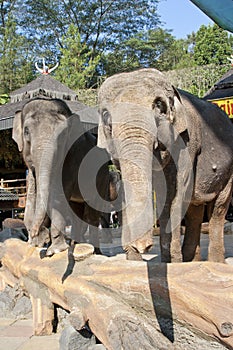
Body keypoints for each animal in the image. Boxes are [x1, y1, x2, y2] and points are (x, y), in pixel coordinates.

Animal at [12, 97, 114, 256]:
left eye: (63, 135)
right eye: (26, 131)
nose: (34, 234)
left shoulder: (71, 161)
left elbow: (58, 196)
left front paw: (54, 250)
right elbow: (32, 193)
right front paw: (37, 244)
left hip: (102, 177)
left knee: (92, 212)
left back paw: (95, 252)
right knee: (76, 211)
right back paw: (77, 246)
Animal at [97, 68, 233, 262]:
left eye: (159, 106)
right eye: (106, 115)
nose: (143, 247)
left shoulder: (187, 142)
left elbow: (174, 194)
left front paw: (172, 261)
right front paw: (136, 259)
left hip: (229, 170)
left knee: (218, 208)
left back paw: (214, 262)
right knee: (195, 209)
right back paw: (191, 261)